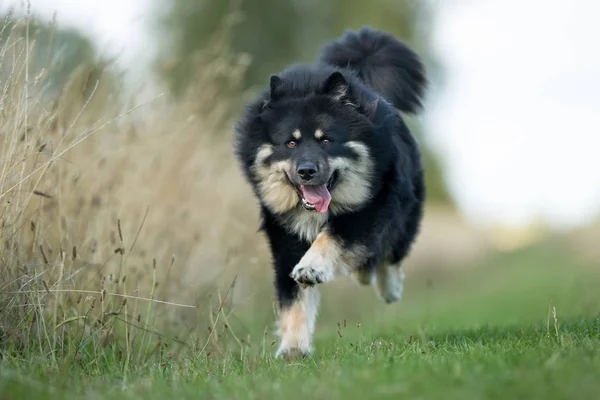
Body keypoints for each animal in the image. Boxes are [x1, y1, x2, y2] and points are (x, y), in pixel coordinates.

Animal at [233, 26, 426, 358]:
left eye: (326, 141)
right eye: (291, 143)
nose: (307, 171)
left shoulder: (369, 211)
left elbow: (331, 239)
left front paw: (312, 267)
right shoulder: (284, 237)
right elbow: (293, 299)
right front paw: (293, 349)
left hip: (404, 211)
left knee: (392, 252)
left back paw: (389, 288)